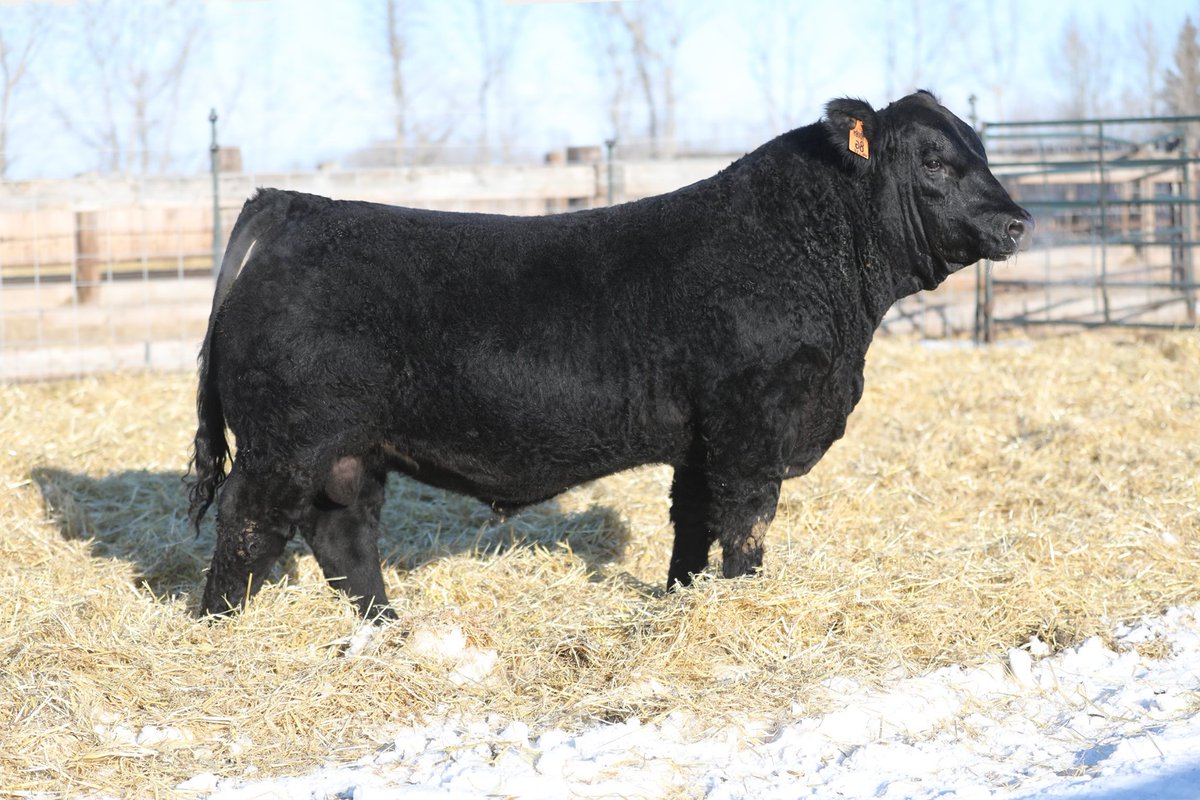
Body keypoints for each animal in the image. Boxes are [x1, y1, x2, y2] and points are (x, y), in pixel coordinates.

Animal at [187, 91, 1032, 619]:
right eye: (934, 162)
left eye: (982, 151)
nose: (1018, 221)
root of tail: (293, 206)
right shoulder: (751, 430)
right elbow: (745, 529)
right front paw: (741, 603)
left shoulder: (701, 442)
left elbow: (693, 527)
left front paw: (686, 600)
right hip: (286, 443)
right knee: (247, 525)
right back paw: (219, 630)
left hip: (350, 450)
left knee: (343, 536)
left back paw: (386, 629)